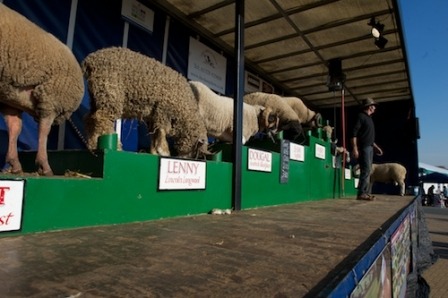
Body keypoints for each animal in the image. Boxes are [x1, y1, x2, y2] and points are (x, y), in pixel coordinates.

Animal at [0, 3, 85, 176]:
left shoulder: (10, 99)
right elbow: (44, 130)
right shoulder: (52, 98)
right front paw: (44, 166)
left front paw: (14, 163)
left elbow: (14, 127)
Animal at [81, 47, 210, 158]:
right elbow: (162, 130)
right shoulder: (163, 109)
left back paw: (93, 144)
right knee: (101, 118)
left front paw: (154, 151)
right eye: (195, 151)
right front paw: (164, 151)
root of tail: (89, 60)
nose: (184, 158)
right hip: (110, 91)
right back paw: (116, 147)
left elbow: (154, 133)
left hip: (96, 95)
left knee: (89, 118)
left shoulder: (153, 116)